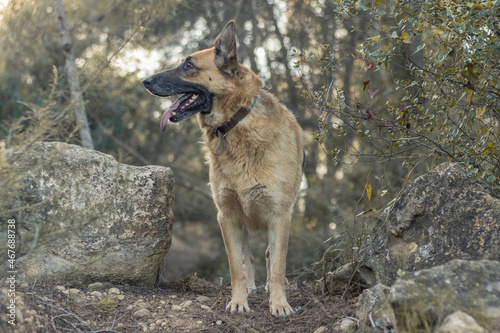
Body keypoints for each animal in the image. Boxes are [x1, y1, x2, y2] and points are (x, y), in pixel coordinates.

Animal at [143, 19, 302, 316]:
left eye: (189, 65)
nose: (145, 81)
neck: (234, 125)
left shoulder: (279, 216)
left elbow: (277, 264)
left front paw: (279, 303)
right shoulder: (227, 215)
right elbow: (236, 265)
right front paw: (239, 301)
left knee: (269, 255)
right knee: (247, 256)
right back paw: (250, 287)